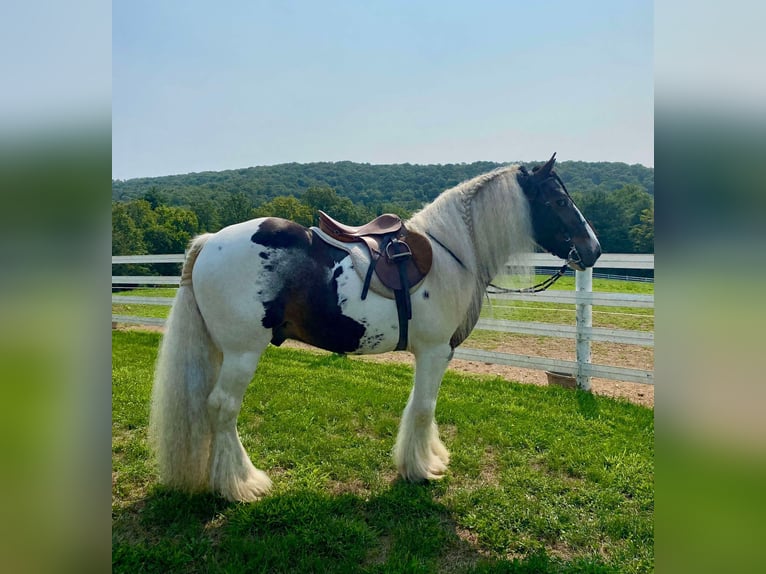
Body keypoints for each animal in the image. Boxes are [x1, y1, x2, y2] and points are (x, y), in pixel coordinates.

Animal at [150, 156, 604, 504]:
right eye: (559, 199)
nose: (594, 249)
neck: (452, 253)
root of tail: (210, 242)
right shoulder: (435, 350)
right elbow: (424, 408)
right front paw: (421, 469)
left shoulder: (435, 353)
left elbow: (420, 406)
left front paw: (425, 459)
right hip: (243, 353)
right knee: (223, 408)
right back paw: (241, 485)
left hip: (221, 352)